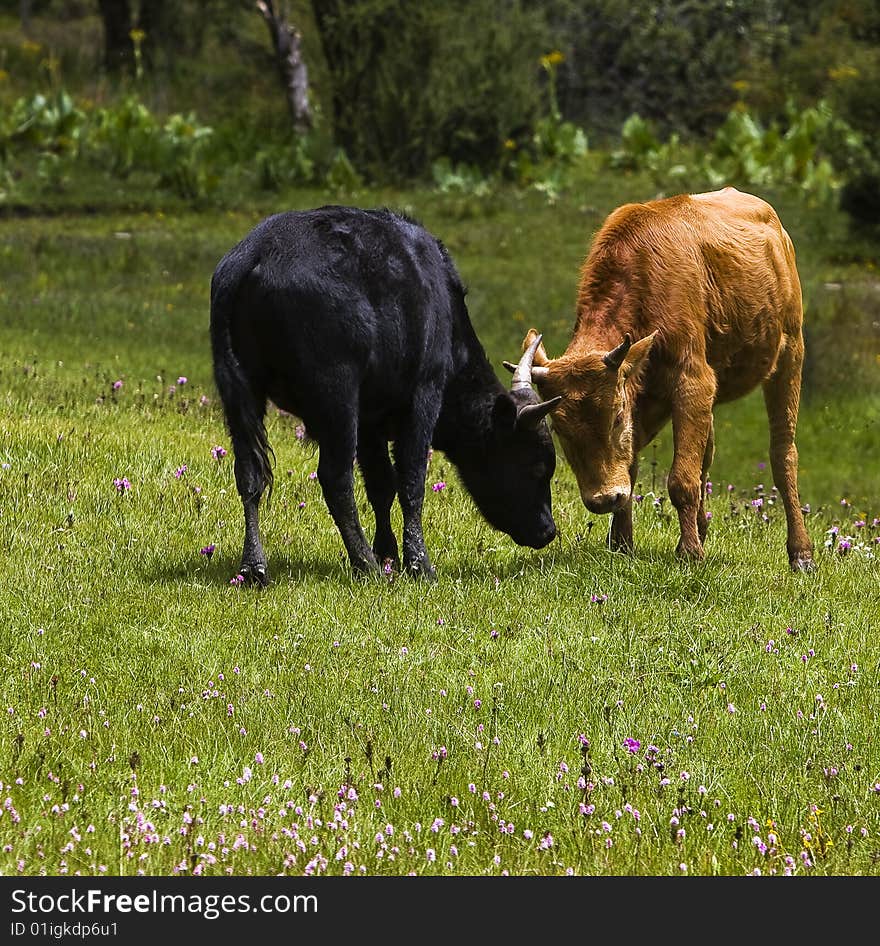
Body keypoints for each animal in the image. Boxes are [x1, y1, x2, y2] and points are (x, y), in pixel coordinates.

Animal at [208, 205, 556, 584]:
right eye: (537, 465)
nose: (549, 531)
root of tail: (255, 255)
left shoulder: (370, 423)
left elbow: (381, 484)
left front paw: (387, 552)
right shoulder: (423, 396)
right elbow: (411, 480)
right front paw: (417, 563)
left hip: (241, 394)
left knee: (249, 474)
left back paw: (254, 567)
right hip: (337, 397)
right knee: (335, 478)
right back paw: (364, 563)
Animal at [516, 184, 820, 568]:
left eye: (616, 417)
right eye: (559, 429)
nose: (604, 499)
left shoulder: (692, 383)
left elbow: (681, 479)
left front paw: (690, 553)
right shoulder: (651, 395)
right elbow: (637, 466)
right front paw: (622, 544)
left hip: (790, 354)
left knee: (783, 454)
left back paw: (800, 553)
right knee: (708, 453)